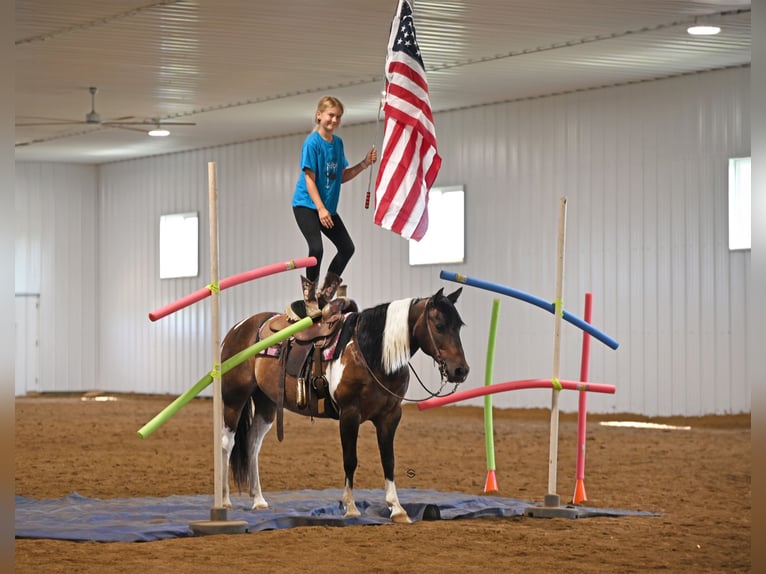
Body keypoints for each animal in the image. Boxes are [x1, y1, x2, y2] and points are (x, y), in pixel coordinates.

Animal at [219, 290, 472, 524]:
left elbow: (388, 460)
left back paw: (258, 500)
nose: (461, 370)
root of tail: (238, 328)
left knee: (252, 444)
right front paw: (350, 507)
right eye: (439, 325)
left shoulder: (390, 416)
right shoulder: (350, 414)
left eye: (459, 326)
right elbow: (350, 459)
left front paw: (397, 509)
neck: (371, 354)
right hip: (234, 399)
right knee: (227, 443)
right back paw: (224, 502)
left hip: (266, 404)